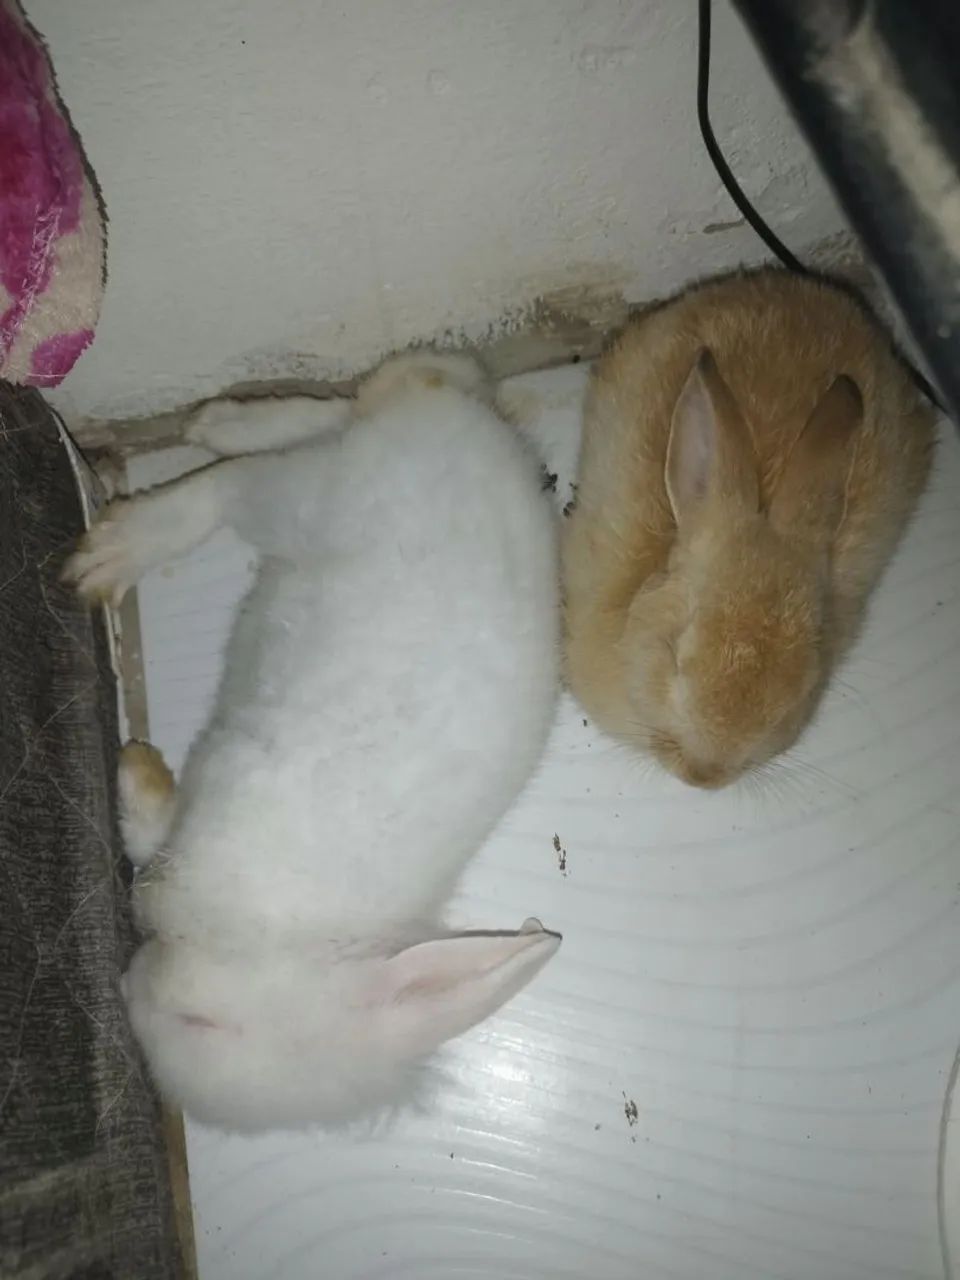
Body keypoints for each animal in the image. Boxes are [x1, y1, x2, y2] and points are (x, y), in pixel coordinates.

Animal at [63, 351, 561, 1133]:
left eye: (196, 1026)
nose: (126, 989)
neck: (279, 941)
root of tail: (469, 420)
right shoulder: (209, 818)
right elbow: (153, 856)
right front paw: (138, 766)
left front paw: (137, 768)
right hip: (308, 499)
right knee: (228, 486)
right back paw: (126, 538)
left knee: (332, 415)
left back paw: (218, 422)